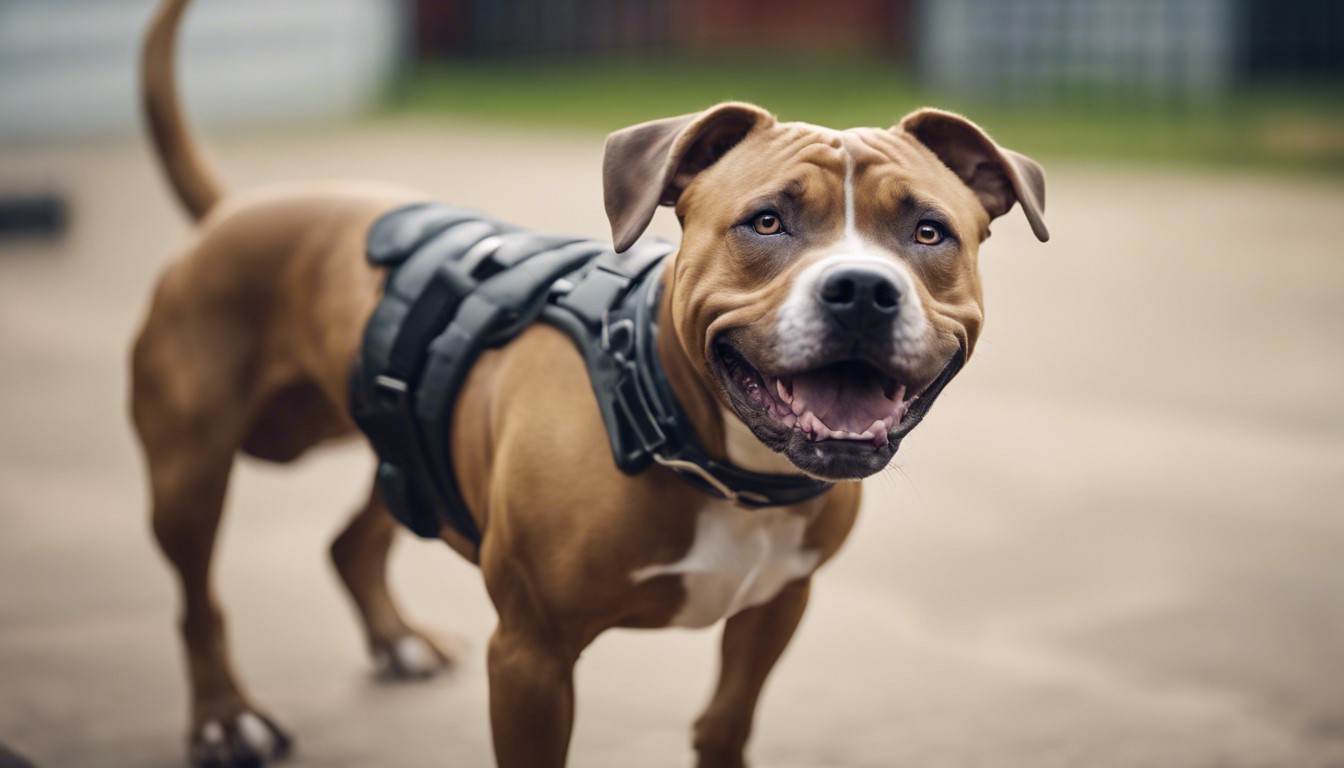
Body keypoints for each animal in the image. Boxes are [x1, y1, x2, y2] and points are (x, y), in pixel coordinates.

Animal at [128, 0, 1048, 763]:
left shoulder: (773, 609)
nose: (861, 290)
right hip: (189, 468)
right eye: (766, 221)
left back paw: (397, 642)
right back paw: (225, 721)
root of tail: (236, 209)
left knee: (351, 542)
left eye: (928, 232)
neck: (703, 447)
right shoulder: (531, 656)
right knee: (196, 599)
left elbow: (724, 725)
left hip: (407, 437)